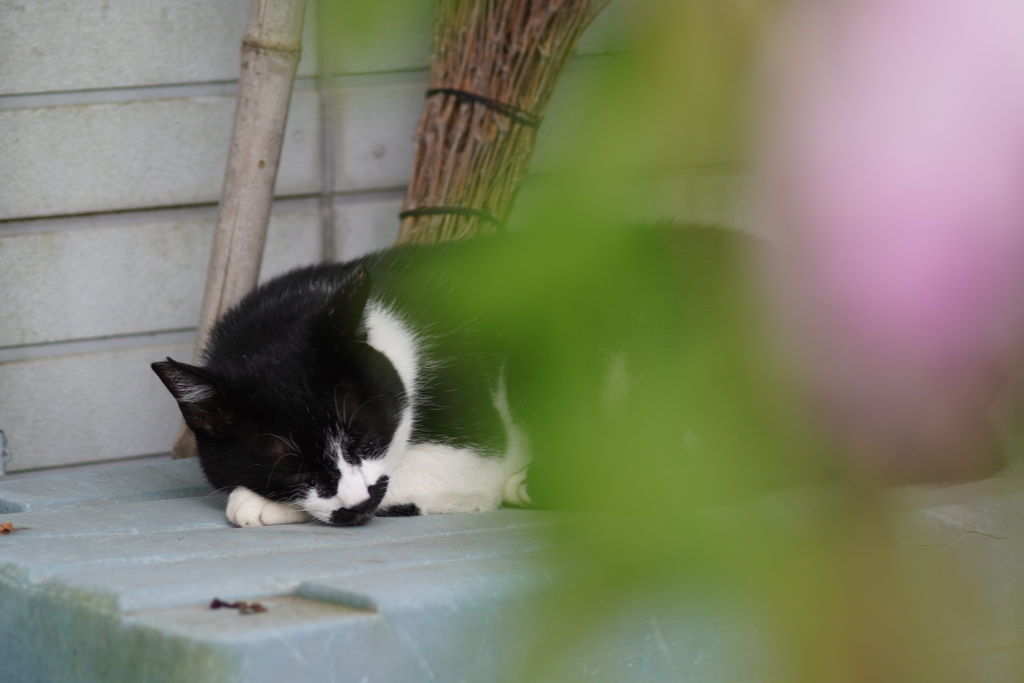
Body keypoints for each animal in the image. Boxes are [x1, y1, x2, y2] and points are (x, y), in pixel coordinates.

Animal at [151, 224, 741, 528]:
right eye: (290, 461)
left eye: (361, 433)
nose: (354, 502)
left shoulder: (471, 444)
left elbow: (414, 477)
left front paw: (257, 503)